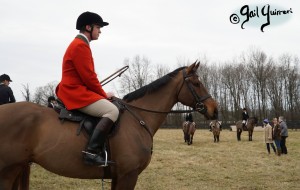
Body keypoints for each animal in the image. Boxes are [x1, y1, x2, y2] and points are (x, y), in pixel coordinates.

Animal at [0, 62, 217, 190]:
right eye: (197, 83)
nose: (214, 110)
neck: (138, 117)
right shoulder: (128, 175)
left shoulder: (118, 177)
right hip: (8, 170)